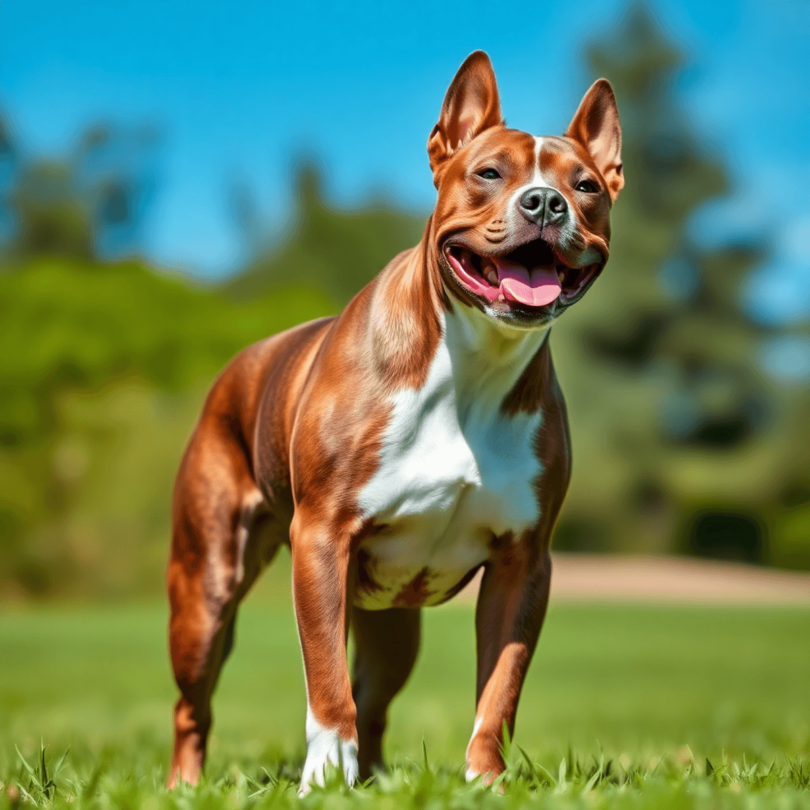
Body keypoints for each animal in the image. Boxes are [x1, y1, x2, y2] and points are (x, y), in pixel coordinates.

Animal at [163, 49, 620, 788]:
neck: (473, 366)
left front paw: (485, 782)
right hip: (205, 591)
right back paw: (186, 783)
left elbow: (499, 689)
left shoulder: (524, 563)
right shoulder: (323, 538)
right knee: (194, 704)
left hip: (391, 621)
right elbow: (326, 681)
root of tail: (237, 367)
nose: (545, 203)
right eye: (488, 173)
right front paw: (322, 780)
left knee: (374, 698)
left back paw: (375, 778)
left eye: (585, 187)